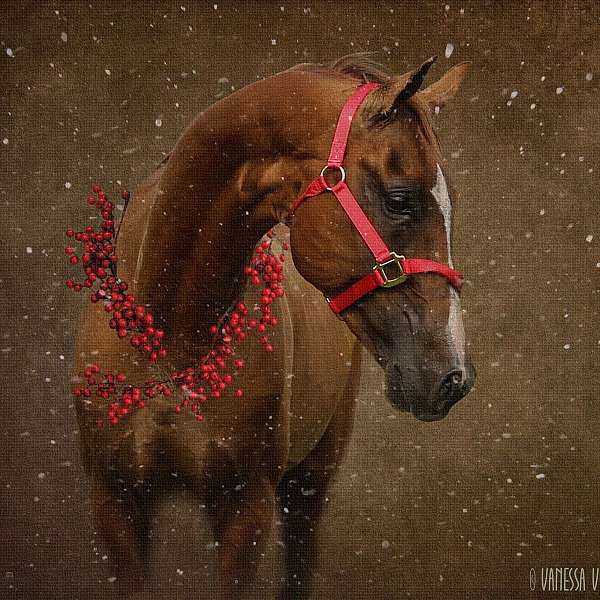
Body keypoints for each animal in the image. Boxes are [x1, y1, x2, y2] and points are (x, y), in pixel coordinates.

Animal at [74, 54, 474, 596]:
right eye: (399, 199)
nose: (453, 377)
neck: (171, 343)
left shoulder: (248, 508)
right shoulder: (115, 504)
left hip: (310, 482)